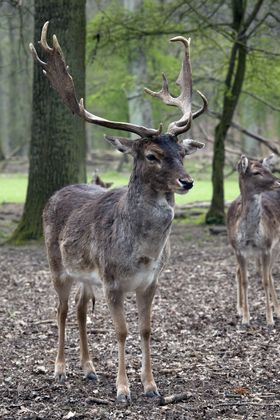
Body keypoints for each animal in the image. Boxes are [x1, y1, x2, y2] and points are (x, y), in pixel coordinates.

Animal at [29, 21, 207, 402]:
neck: (141, 252)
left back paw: (89, 369)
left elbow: (145, 329)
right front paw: (123, 389)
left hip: (86, 275)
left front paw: (151, 386)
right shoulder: (112, 279)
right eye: (152, 155)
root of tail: (57, 192)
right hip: (56, 264)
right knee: (61, 310)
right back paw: (60, 369)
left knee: (81, 311)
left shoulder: (151, 281)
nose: (187, 182)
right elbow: (122, 331)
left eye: (182, 153)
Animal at [228, 156, 280, 326]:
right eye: (256, 172)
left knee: (269, 273)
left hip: (276, 246)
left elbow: (265, 280)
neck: (250, 237)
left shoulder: (266, 247)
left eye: (268, 169)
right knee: (238, 271)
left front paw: (269, 319)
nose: (277, 182)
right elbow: (245, 280)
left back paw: (278, 310)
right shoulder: (239, 250)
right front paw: (245, 318)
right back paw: (239, 309)